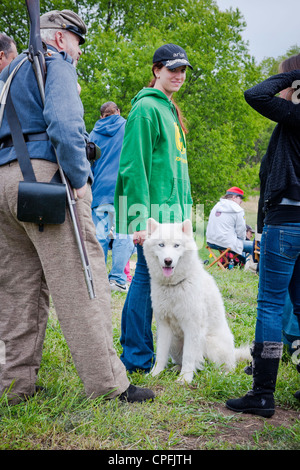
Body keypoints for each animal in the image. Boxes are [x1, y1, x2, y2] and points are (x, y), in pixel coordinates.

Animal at [143, 218, 251, 384]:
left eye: (176, 245)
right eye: (161, 245)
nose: (168, 261)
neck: (174, 285)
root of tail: (234, 353)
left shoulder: (192, 326)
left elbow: (189, 356)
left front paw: (185, 379)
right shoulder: (164, 325)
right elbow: (161, 354)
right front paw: (155, 374)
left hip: (208, 343)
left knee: (224, 368)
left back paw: (220, 374)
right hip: (175, 342)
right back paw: (176, 368)